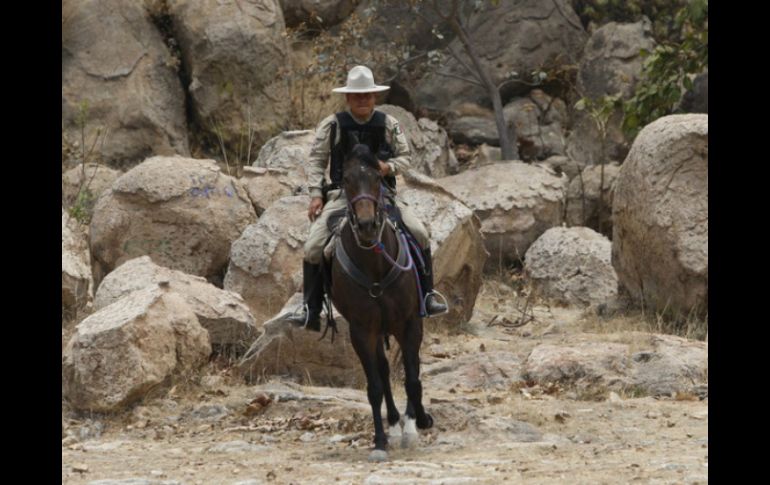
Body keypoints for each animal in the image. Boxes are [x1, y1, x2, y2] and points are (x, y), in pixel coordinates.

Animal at [328, 142, 432, 460]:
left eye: (377, 178)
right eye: (346, 180)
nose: (366, 226)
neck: (375, 264)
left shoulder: (410, 323)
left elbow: (412, 376)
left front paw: (415, 425)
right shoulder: (362, 331)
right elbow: (374, 386)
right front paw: (380, 440)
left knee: (411, 367)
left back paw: (414, 419)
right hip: (377, 331)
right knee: (385, 372)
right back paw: (395, 422)